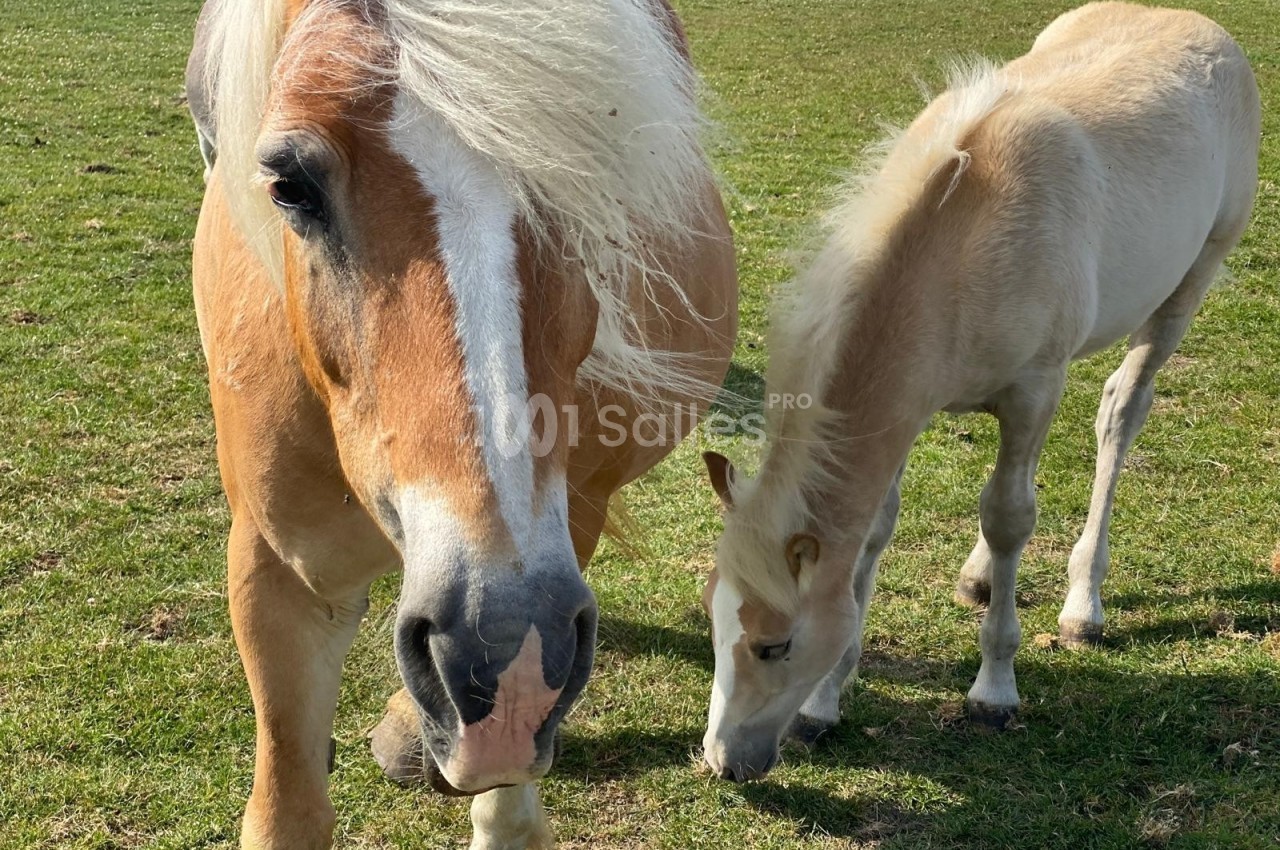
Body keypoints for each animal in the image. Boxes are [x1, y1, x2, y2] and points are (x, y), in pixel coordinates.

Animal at [699, 1, 1259, 783]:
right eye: (713, 620)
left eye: (774, 645)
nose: (722, 761)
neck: (961, 240)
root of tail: (1199, 27)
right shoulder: (908, 408)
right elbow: (879, 530)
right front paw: (823, 705)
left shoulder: (1033, 391)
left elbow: (1009, 517)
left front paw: (994, 690)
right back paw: (980, 576)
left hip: (1191, 282)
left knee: (1122, 411)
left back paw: (1083, 605)